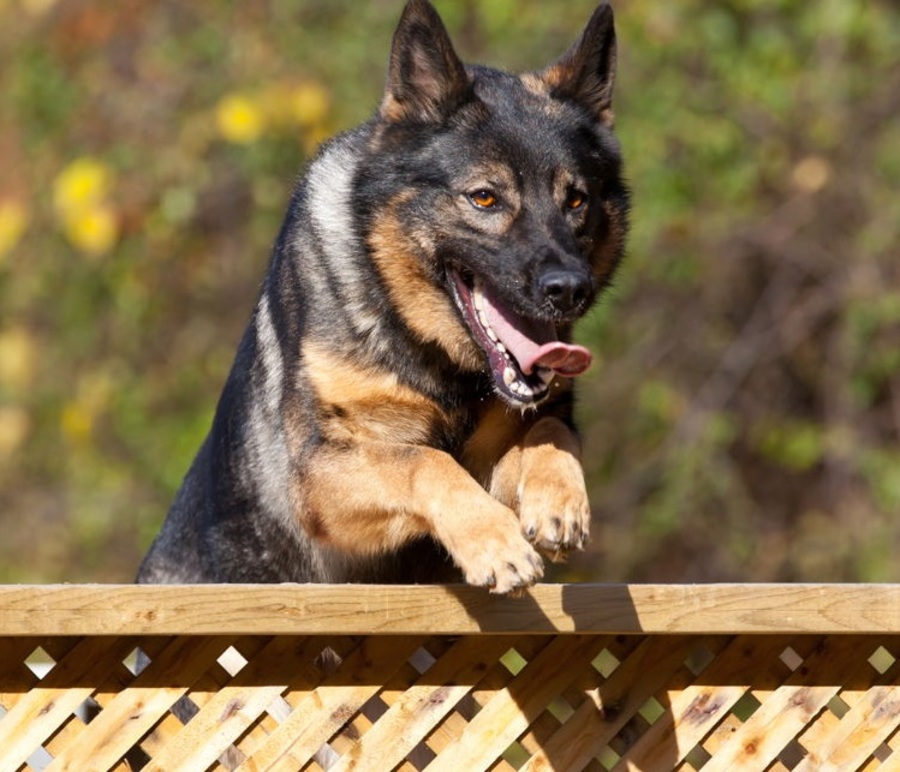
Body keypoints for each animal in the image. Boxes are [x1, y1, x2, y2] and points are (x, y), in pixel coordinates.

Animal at [142, 0, 632, 596]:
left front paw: (559, 502)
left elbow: (551, 429)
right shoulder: (322, 475)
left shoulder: (512, 439)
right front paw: (496, 544)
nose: (569, 289)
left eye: (576, 200)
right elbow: (424, 461)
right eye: (484, 198)